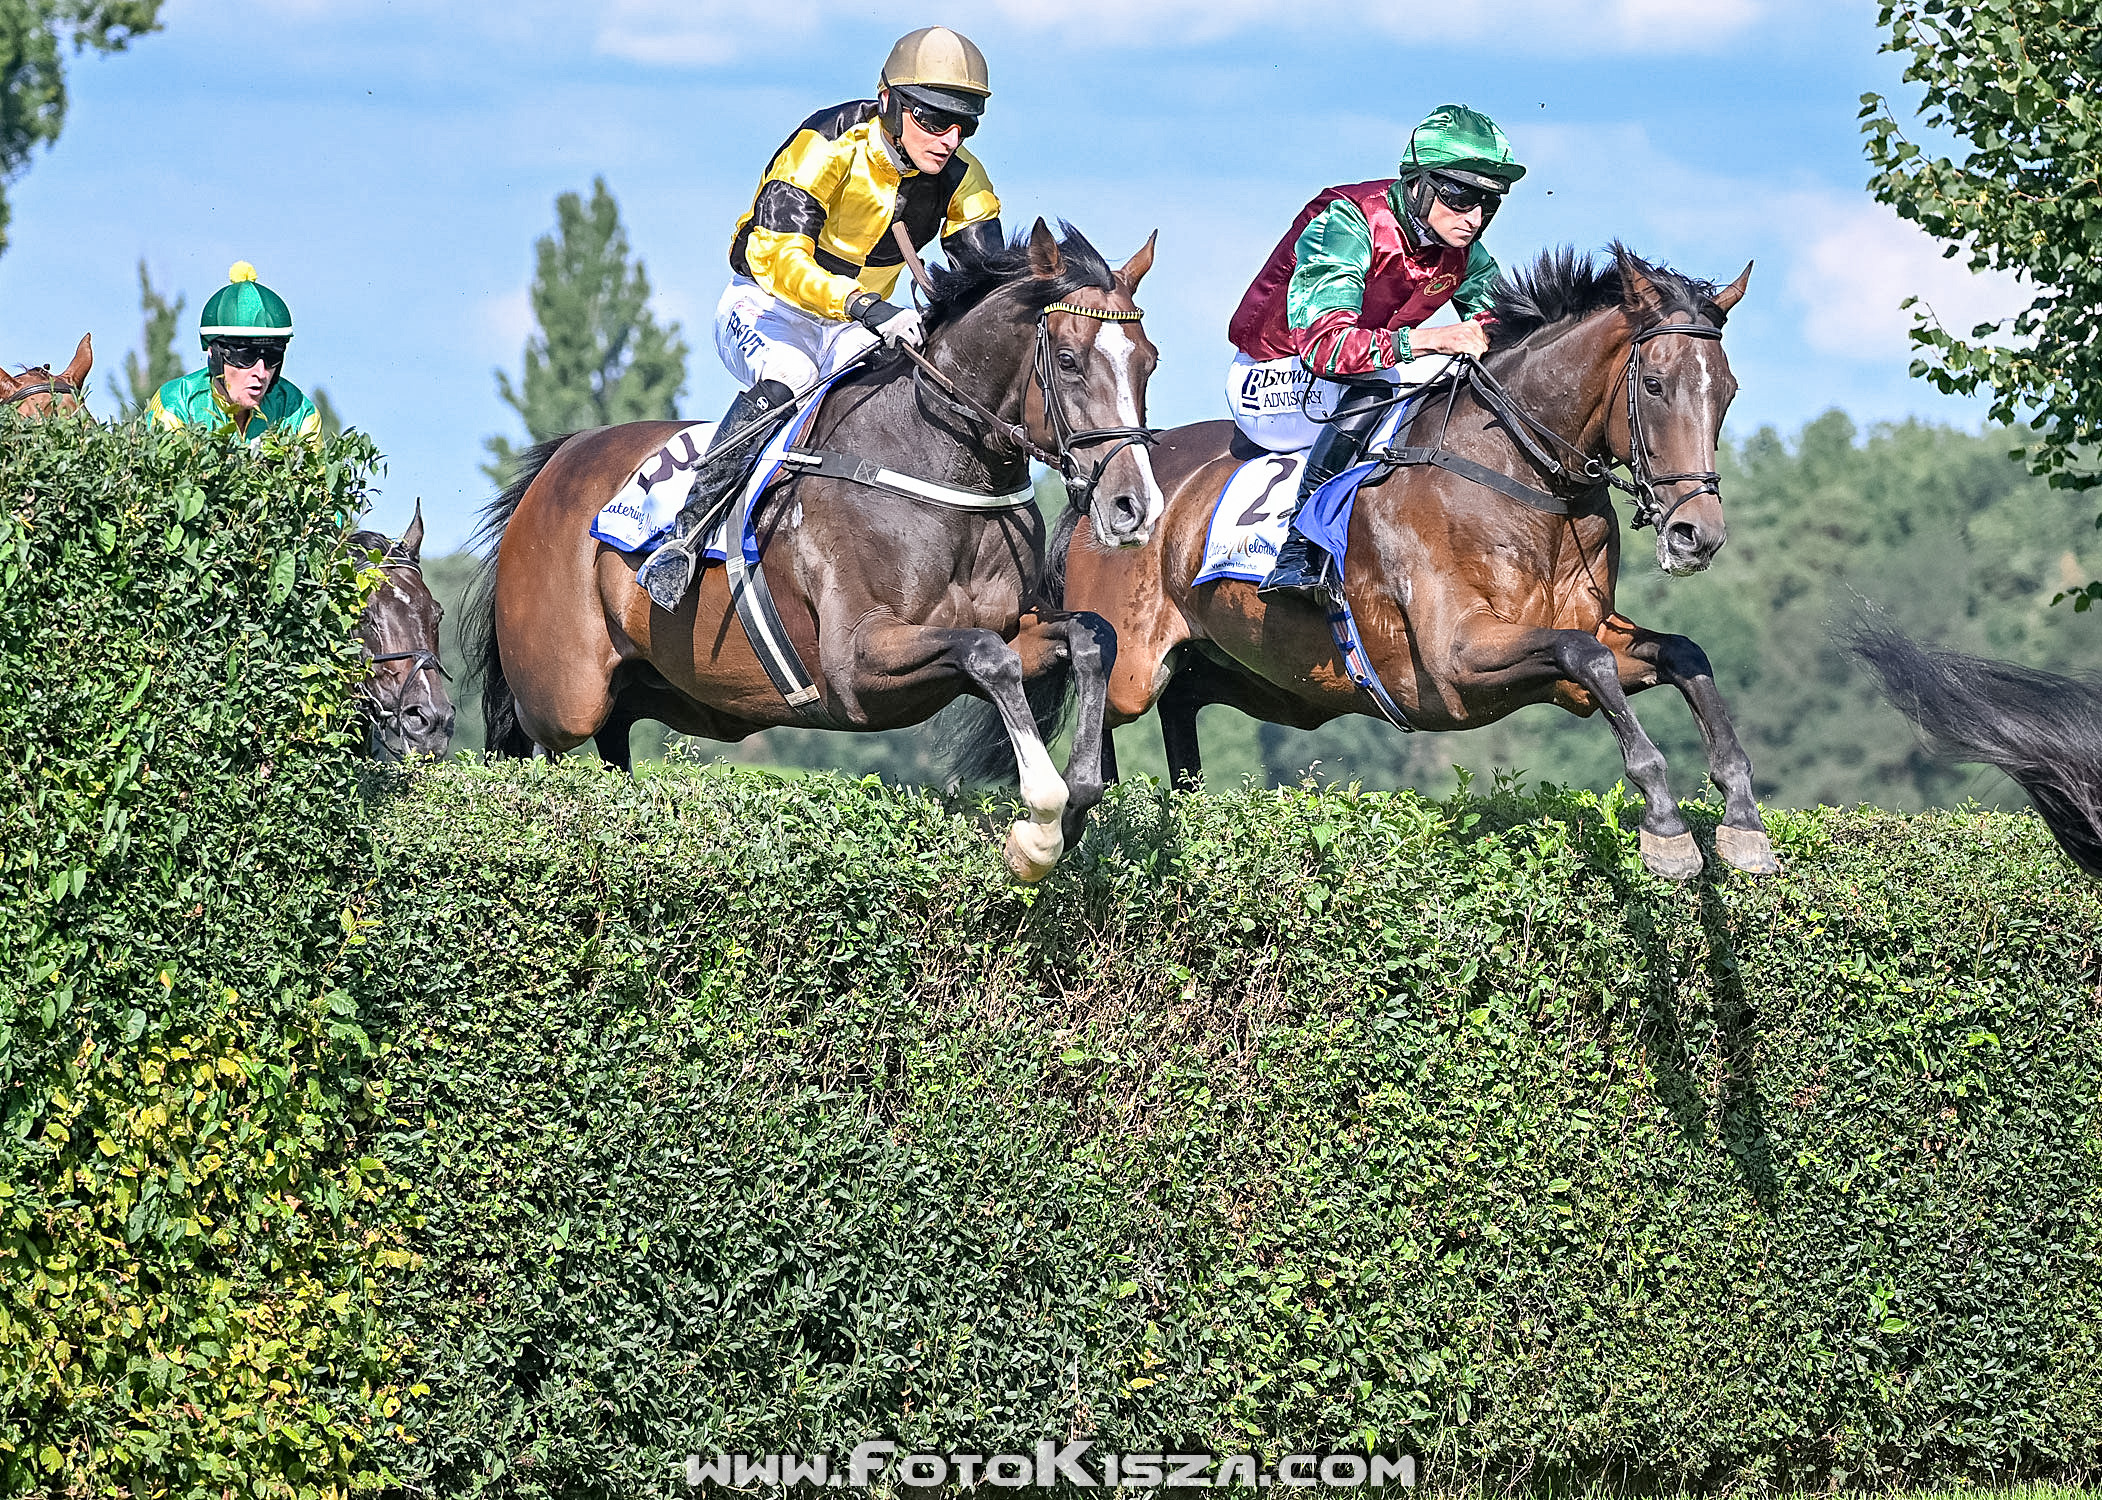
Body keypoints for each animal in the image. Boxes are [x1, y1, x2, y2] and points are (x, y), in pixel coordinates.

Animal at [462, 220, 1177, 878]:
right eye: (1068, 360)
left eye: (1150, 360)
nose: (1134, 505)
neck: (939, 466)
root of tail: (558, 461)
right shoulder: (856, 665)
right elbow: (986, 656)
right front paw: (1037, 832)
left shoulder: (1016, 626)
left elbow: (1089, 638)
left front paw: (1074, 803)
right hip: (560, 700)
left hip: (637, 688)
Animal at [1034, 243, 1774, 878]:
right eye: (1655, 384)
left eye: (1729, 390)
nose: (1697, 534)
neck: (1518, 474)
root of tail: (1101, 484)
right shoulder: (1458, 658)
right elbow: (1585, 659)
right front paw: (1667, 827)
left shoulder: (1584, 630)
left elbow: (1681, 654)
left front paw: (1741, 818)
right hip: (1133, 666)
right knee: (1100, 701)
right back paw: (1065, 826)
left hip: (1243, 673)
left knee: (1182, 704)